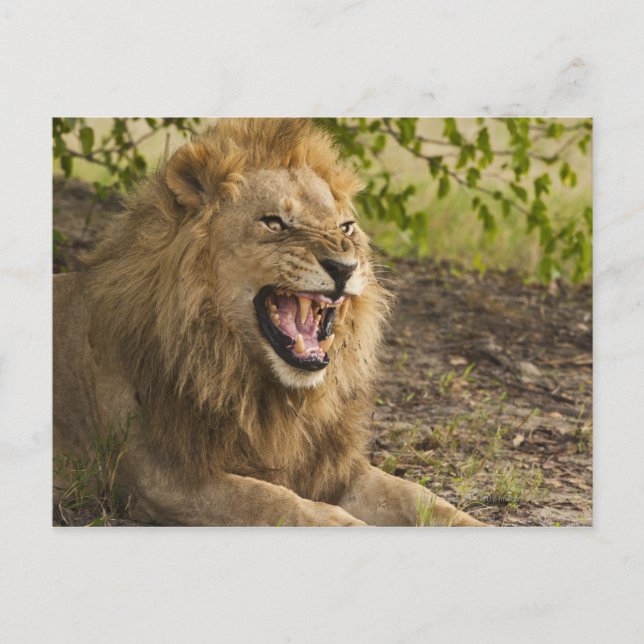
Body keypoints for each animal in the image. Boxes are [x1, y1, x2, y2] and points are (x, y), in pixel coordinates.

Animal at [53, 118, 483, 526]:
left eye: (345, 227)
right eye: (275, 223)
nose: (345, 267)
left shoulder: (332, 467)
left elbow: (417, 496)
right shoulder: (163, 476)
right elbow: (267, 499)